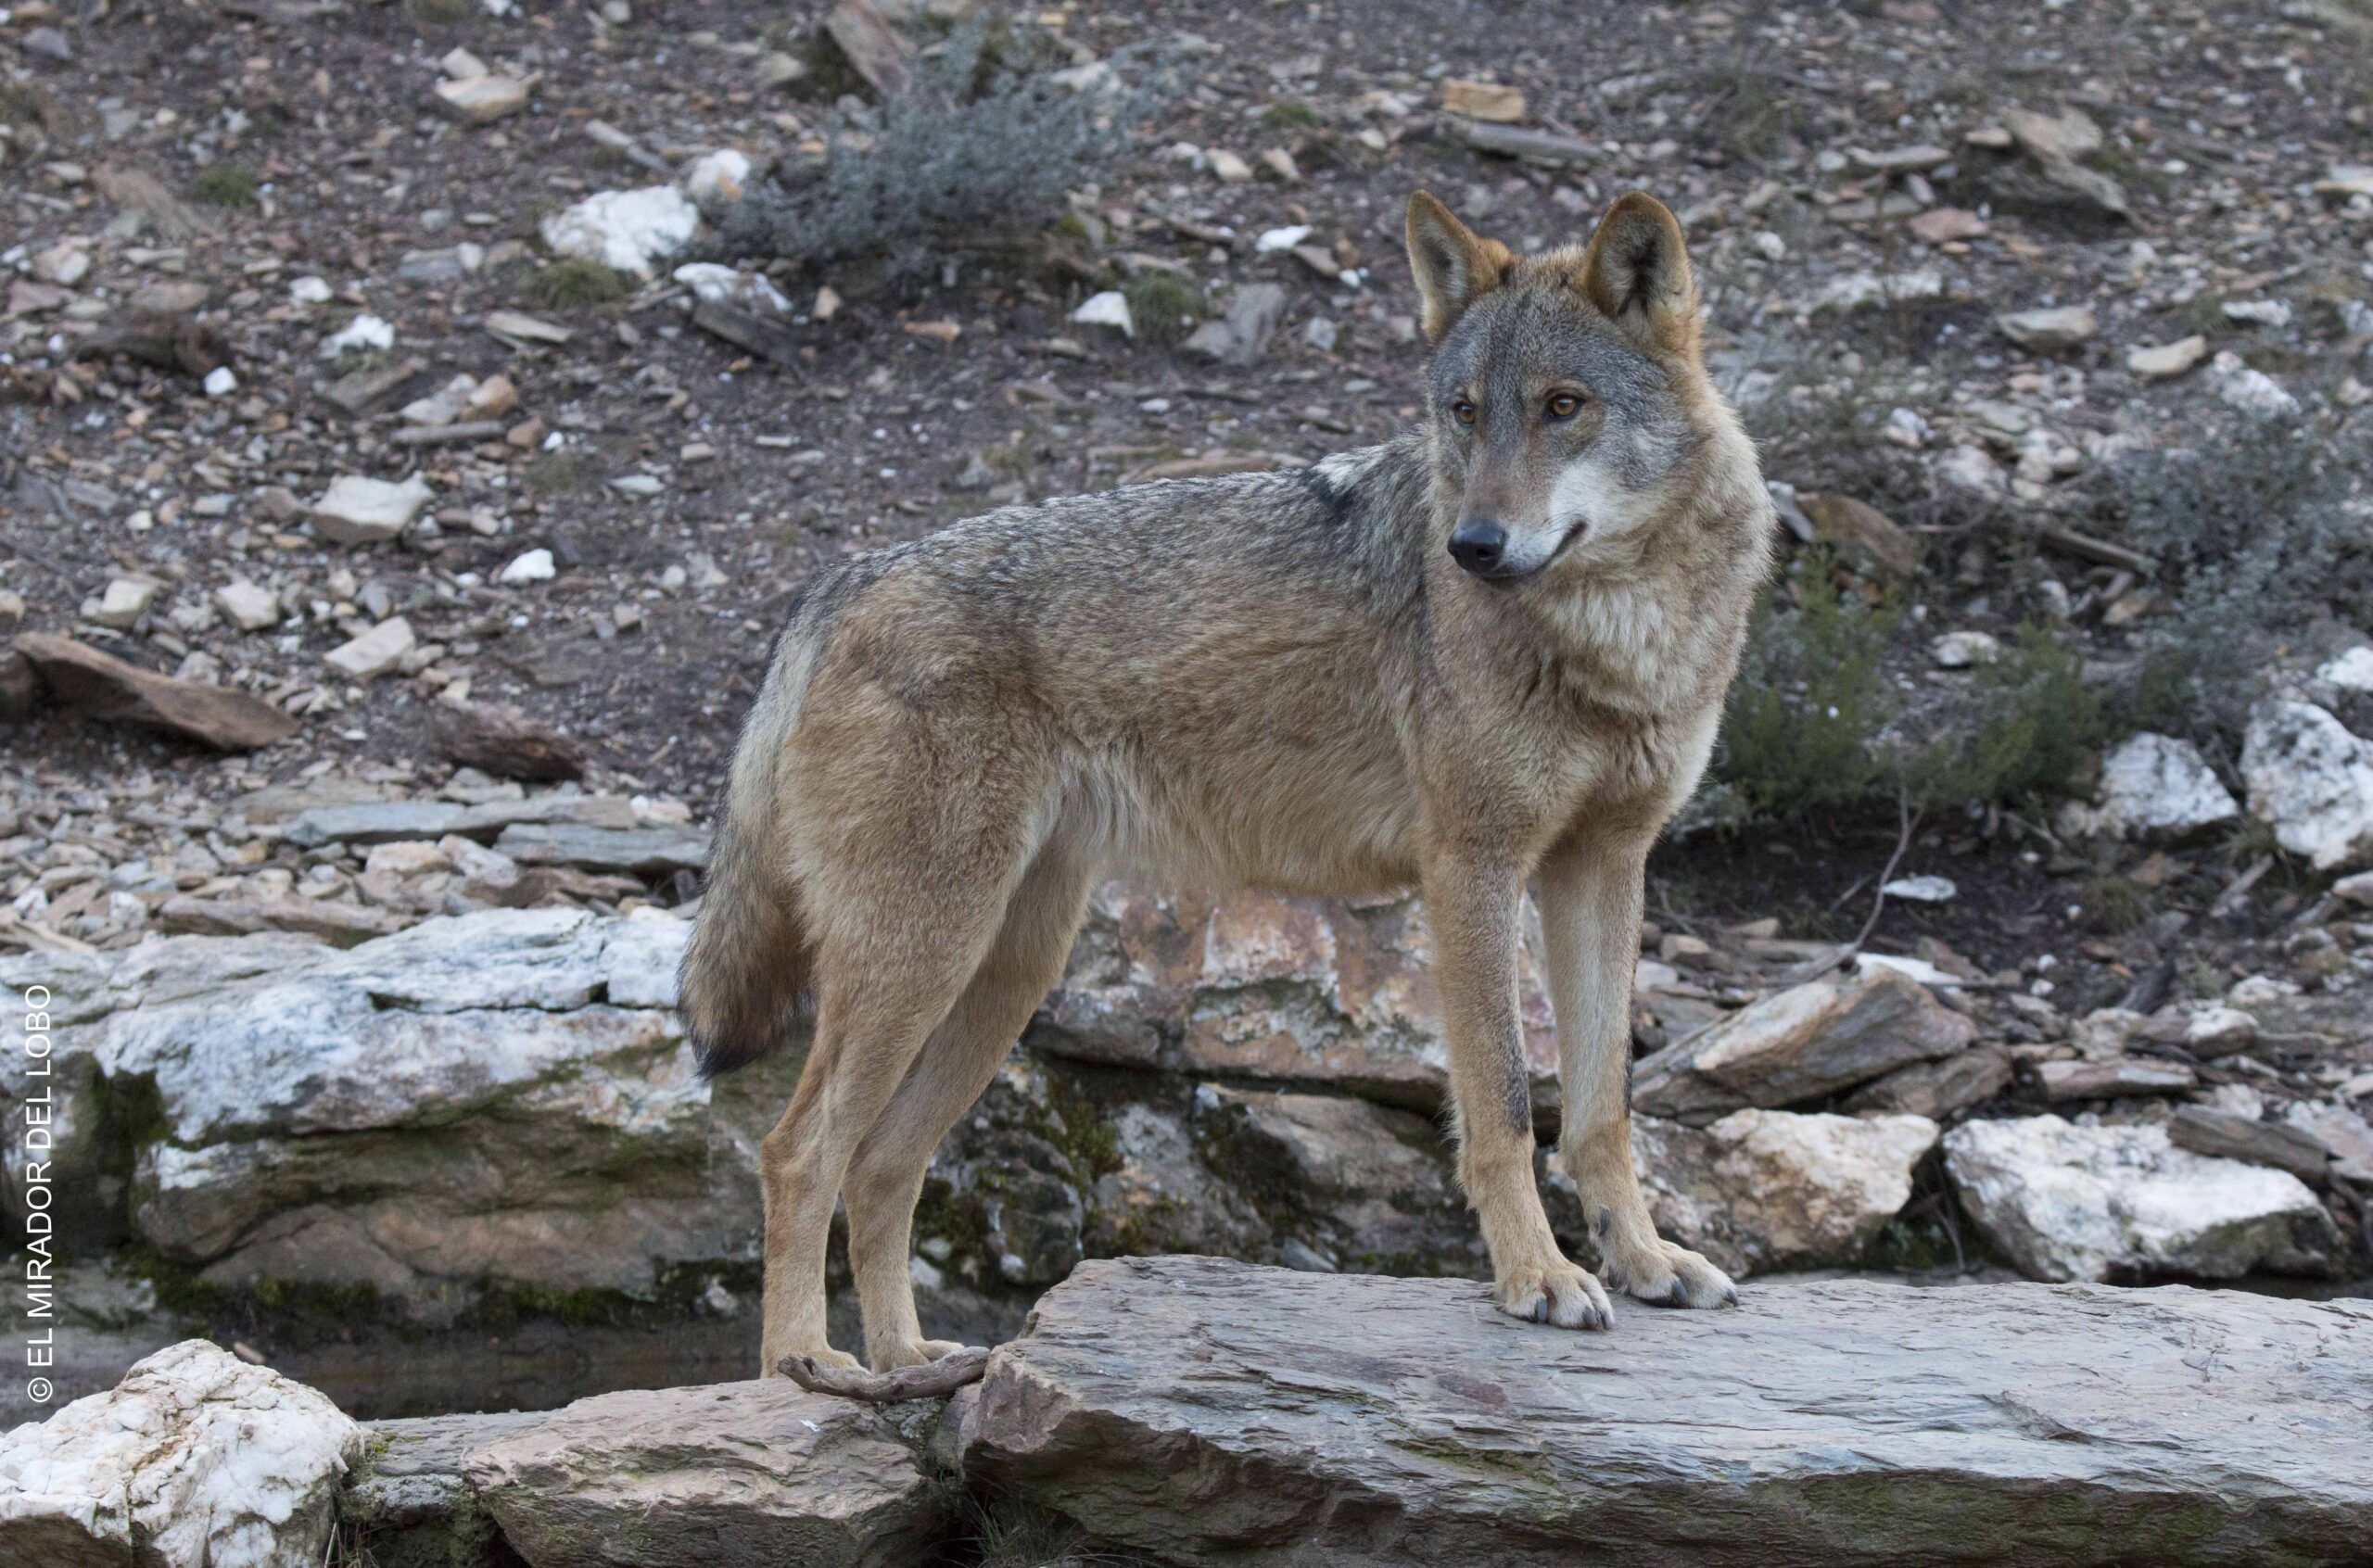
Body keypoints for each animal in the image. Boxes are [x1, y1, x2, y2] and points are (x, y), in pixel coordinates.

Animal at [681, 189, 1778, 1374]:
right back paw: (805, 1371)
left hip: (1003, 970)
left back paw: (911, 1365)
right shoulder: (1472, 869)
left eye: (1562, 407)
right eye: (1464, 413)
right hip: (924, 956)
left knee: (881, 1163)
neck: (1620, 633)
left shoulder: (1603, 868)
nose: (1473, 545)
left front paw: (1645, 1264)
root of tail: (840, 580)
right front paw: (1537, 1278)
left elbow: (1599, 1110)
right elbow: (1498, 1106)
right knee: (797, 1151)